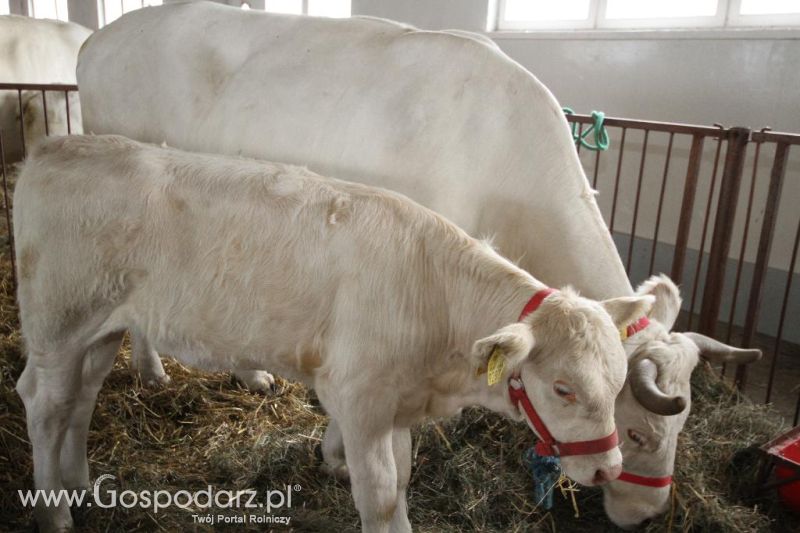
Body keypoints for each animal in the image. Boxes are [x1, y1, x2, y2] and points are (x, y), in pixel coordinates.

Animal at [12, 135, 652, 532]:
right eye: (563, 388)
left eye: (619, 382)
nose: (607, 469)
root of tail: (53, 148)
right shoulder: (359, 397)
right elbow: (379, 498)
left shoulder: (396, 405)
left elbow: (402, 486)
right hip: (57, 320)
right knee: (43, 403)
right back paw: (54, 511)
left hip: (102, 326)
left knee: (81, 398)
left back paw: (81, 487)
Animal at [76, 5, 764, 528]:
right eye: (641, 432)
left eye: (686, 430)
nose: (648, 514)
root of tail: (102, 35)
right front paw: (337, 452)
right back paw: (151, 369)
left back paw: (250, 375)